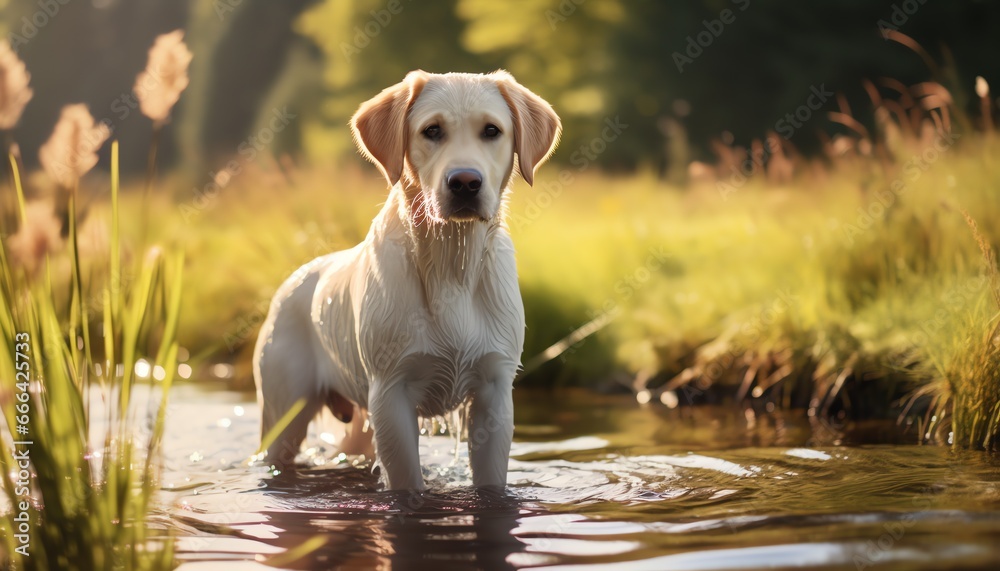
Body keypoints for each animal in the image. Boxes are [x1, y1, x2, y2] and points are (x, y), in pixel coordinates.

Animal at [254, 70, 560, 492]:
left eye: (492, 131)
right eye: (432, 130)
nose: (465, 182)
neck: (451, 265)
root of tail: (290, 283)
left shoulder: (493, 393)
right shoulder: (391, 392)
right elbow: (406, 481)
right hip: (284, 415)